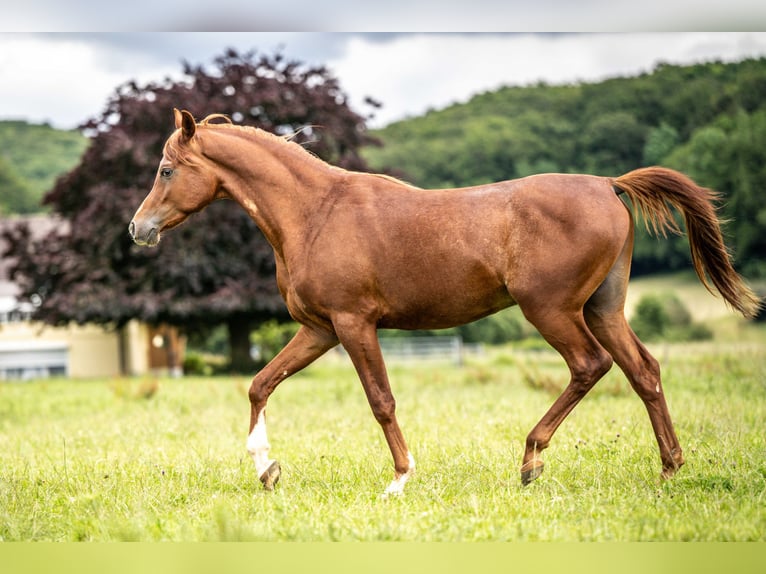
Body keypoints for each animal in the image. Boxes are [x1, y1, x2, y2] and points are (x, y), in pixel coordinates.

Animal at [129, 110, 760, 498]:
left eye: (166, 169)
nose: (138, 228)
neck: (315, 212)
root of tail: (608, 184)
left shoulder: (354, 324)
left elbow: (381, 401)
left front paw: (399, 480)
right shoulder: (319, 329)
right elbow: (260, 384)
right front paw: (267, 469)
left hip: (552, 311)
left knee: (591, 366)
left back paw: (531, 461)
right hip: (604, 310)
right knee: (643, 371)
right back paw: (670, 469)